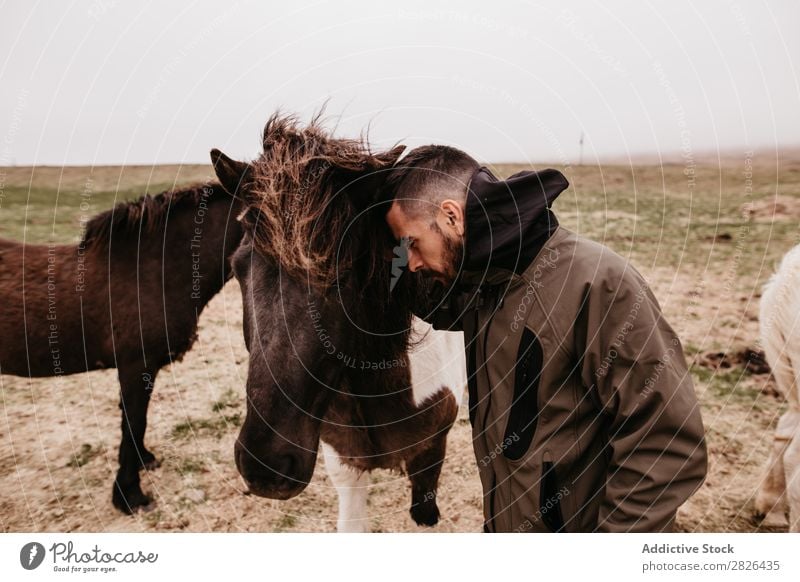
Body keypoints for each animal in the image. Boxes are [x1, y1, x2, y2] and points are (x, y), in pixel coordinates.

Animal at [0, 184, 244, 516]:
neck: (156, 270)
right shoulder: (135, 365)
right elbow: (133, 422)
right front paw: (130, 495)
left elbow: (135, 423)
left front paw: (142, 462)